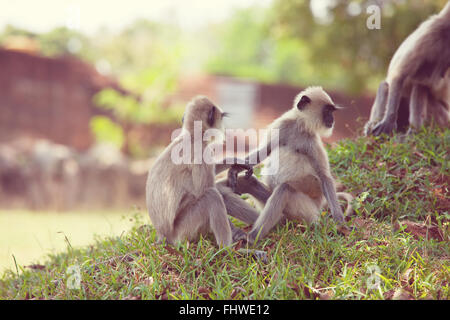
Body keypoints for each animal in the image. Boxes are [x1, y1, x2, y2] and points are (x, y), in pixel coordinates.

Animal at [147, 96, 260, 246]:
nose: (224, 127)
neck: (192, 136)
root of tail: (163, 236)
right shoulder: (200, 151)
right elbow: (204, 189)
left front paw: (236, 161)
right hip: (184, 232)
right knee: (211, 195)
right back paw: (227, 248)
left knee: (219, 192)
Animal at [229, 86, 352, 244]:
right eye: (327, 111)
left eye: (331, 111)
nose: (332, 119)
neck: (299, 125)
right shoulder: (283, 125)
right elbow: (265, 151)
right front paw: (235, 169)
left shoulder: (312, 141)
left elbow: (324, 176)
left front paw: (340, 223)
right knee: (248, 182)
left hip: (307, 211)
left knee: (284, 189)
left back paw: (252, 236)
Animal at [366, 3, 450, 136]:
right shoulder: (432, 31)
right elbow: (399, 75)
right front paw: (388, 121)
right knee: (386, 86)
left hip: (442, 118)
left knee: (420, 86)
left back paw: (415, 131)